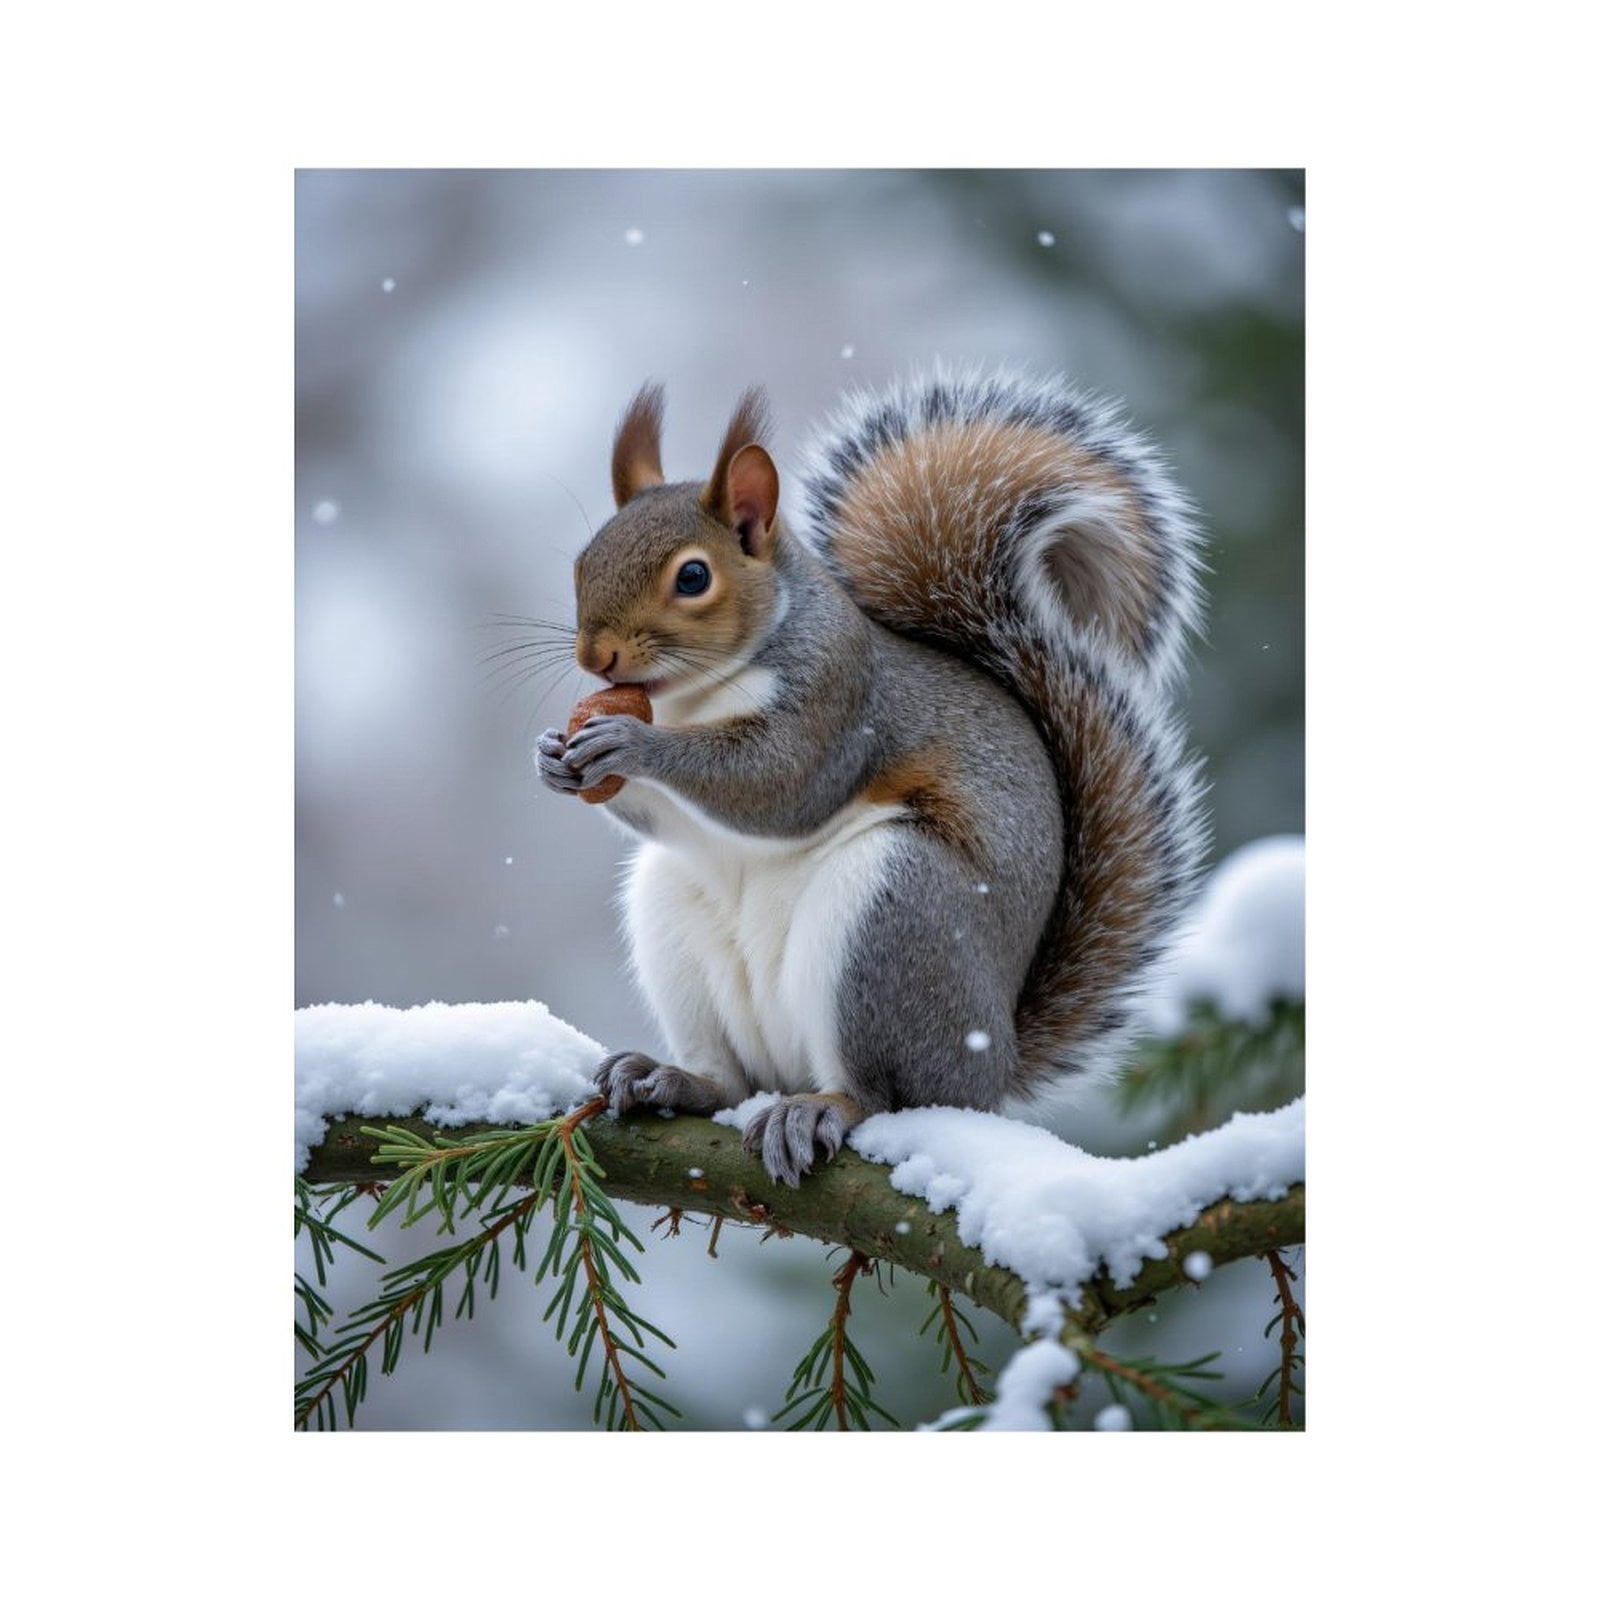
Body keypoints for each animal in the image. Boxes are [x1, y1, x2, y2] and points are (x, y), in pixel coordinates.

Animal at [537, 369, 1206, 1186]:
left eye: (693, 576)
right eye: (582, 562)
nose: (595, 657)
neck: (692, 697)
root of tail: (992, 1072)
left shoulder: (838, 704)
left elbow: (776, 785)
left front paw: (632, 744)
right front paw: (552, 756)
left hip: (891, 911)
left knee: (883, 1095)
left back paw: (817, 1110)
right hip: (672, 919)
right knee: (731, 1080)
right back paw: (671, 1077)